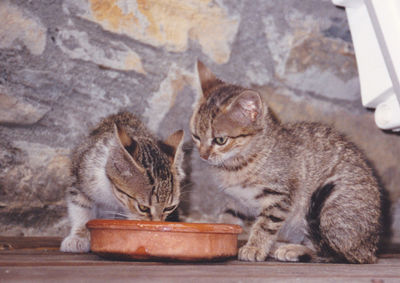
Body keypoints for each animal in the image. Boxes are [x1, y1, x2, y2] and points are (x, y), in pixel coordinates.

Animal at [60, 112, 184, 254]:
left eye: (169, 208)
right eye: (143, 208)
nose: (156, 223)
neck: (112, 194)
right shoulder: (80, 176)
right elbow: (80, 206)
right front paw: (79, 237)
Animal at [191, 61, 384, 264]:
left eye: (220, 140)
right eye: (196, 136)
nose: (203, 155)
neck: (237, 164)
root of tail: (370, 249)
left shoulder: (278, 196)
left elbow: (265, 225)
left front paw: (255, 247)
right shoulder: (236, 201)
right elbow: (228, 220)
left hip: (332, 207)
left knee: (334, 252)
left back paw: (291, 249)